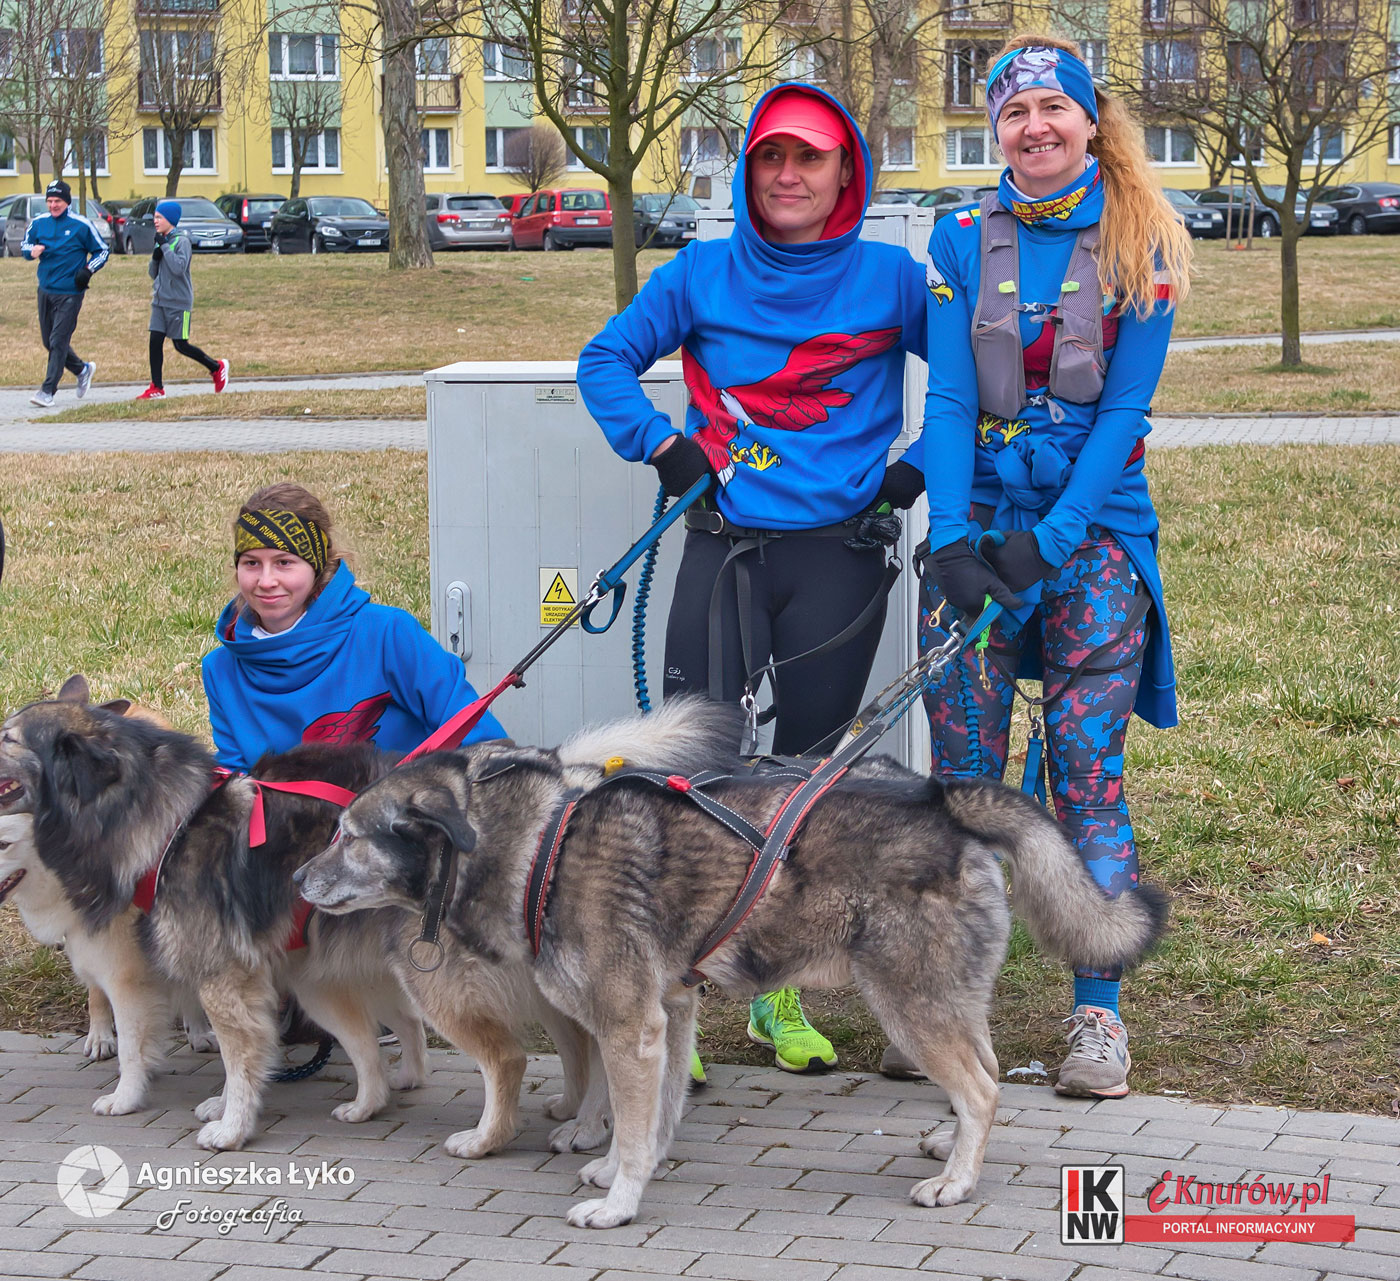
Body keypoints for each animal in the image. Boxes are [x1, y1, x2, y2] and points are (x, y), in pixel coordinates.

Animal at [297, 698, 1168, 1228]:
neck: (543, 845)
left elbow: (635, 1121)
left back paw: (957, 1180)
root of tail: (945, 798)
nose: (299, 880)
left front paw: (619, 1200)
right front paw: (619, 1168)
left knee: (985, 1087)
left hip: (910, 1001)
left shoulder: (630, 1024)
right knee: (981, 1071)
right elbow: (650, 1117)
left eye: (348, 834)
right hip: (941, 998)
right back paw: (947, 1143)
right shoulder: (668, 1014)